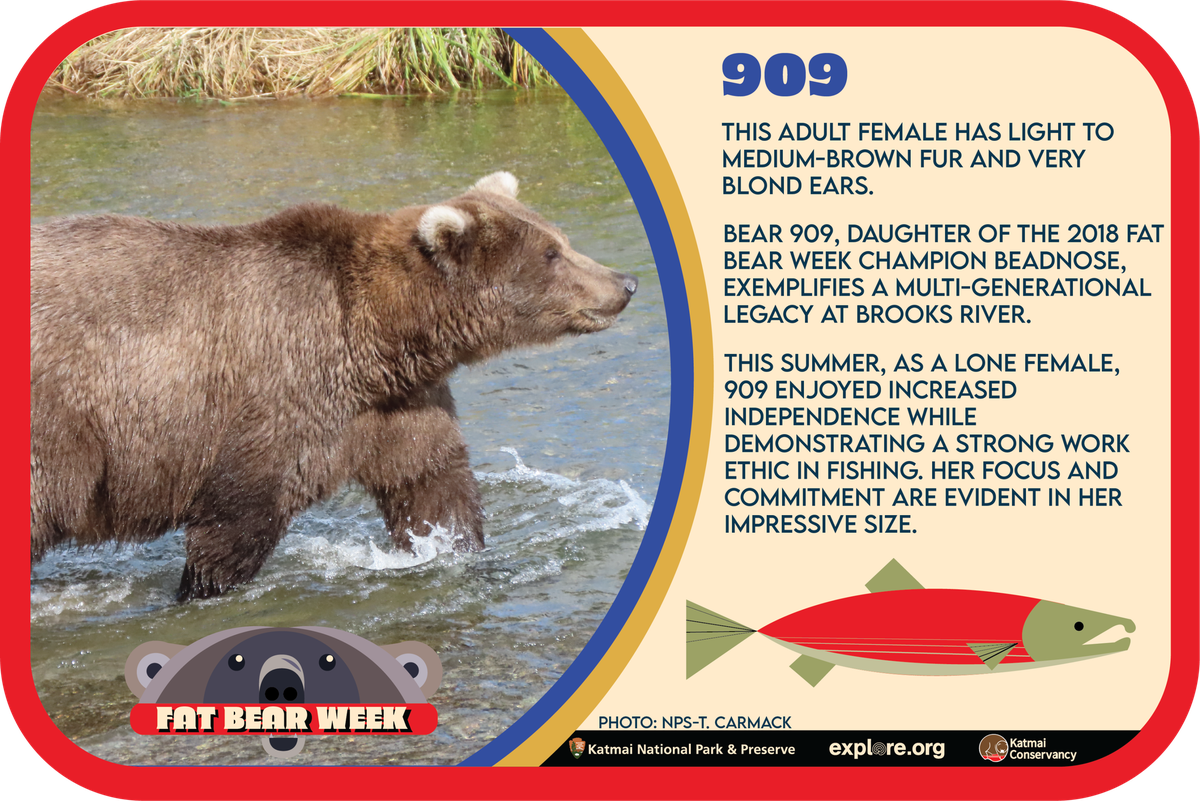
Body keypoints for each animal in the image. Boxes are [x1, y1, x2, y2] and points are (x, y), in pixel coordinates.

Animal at [31, 172, 637, 601]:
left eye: (561, 238)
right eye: (551, 254)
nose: (626, 282)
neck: (379, 337)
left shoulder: (398, 405)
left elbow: (434, 484)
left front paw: (460, 552)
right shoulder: (280, 395)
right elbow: (237, 519)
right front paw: (199, 588)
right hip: (59, 426)